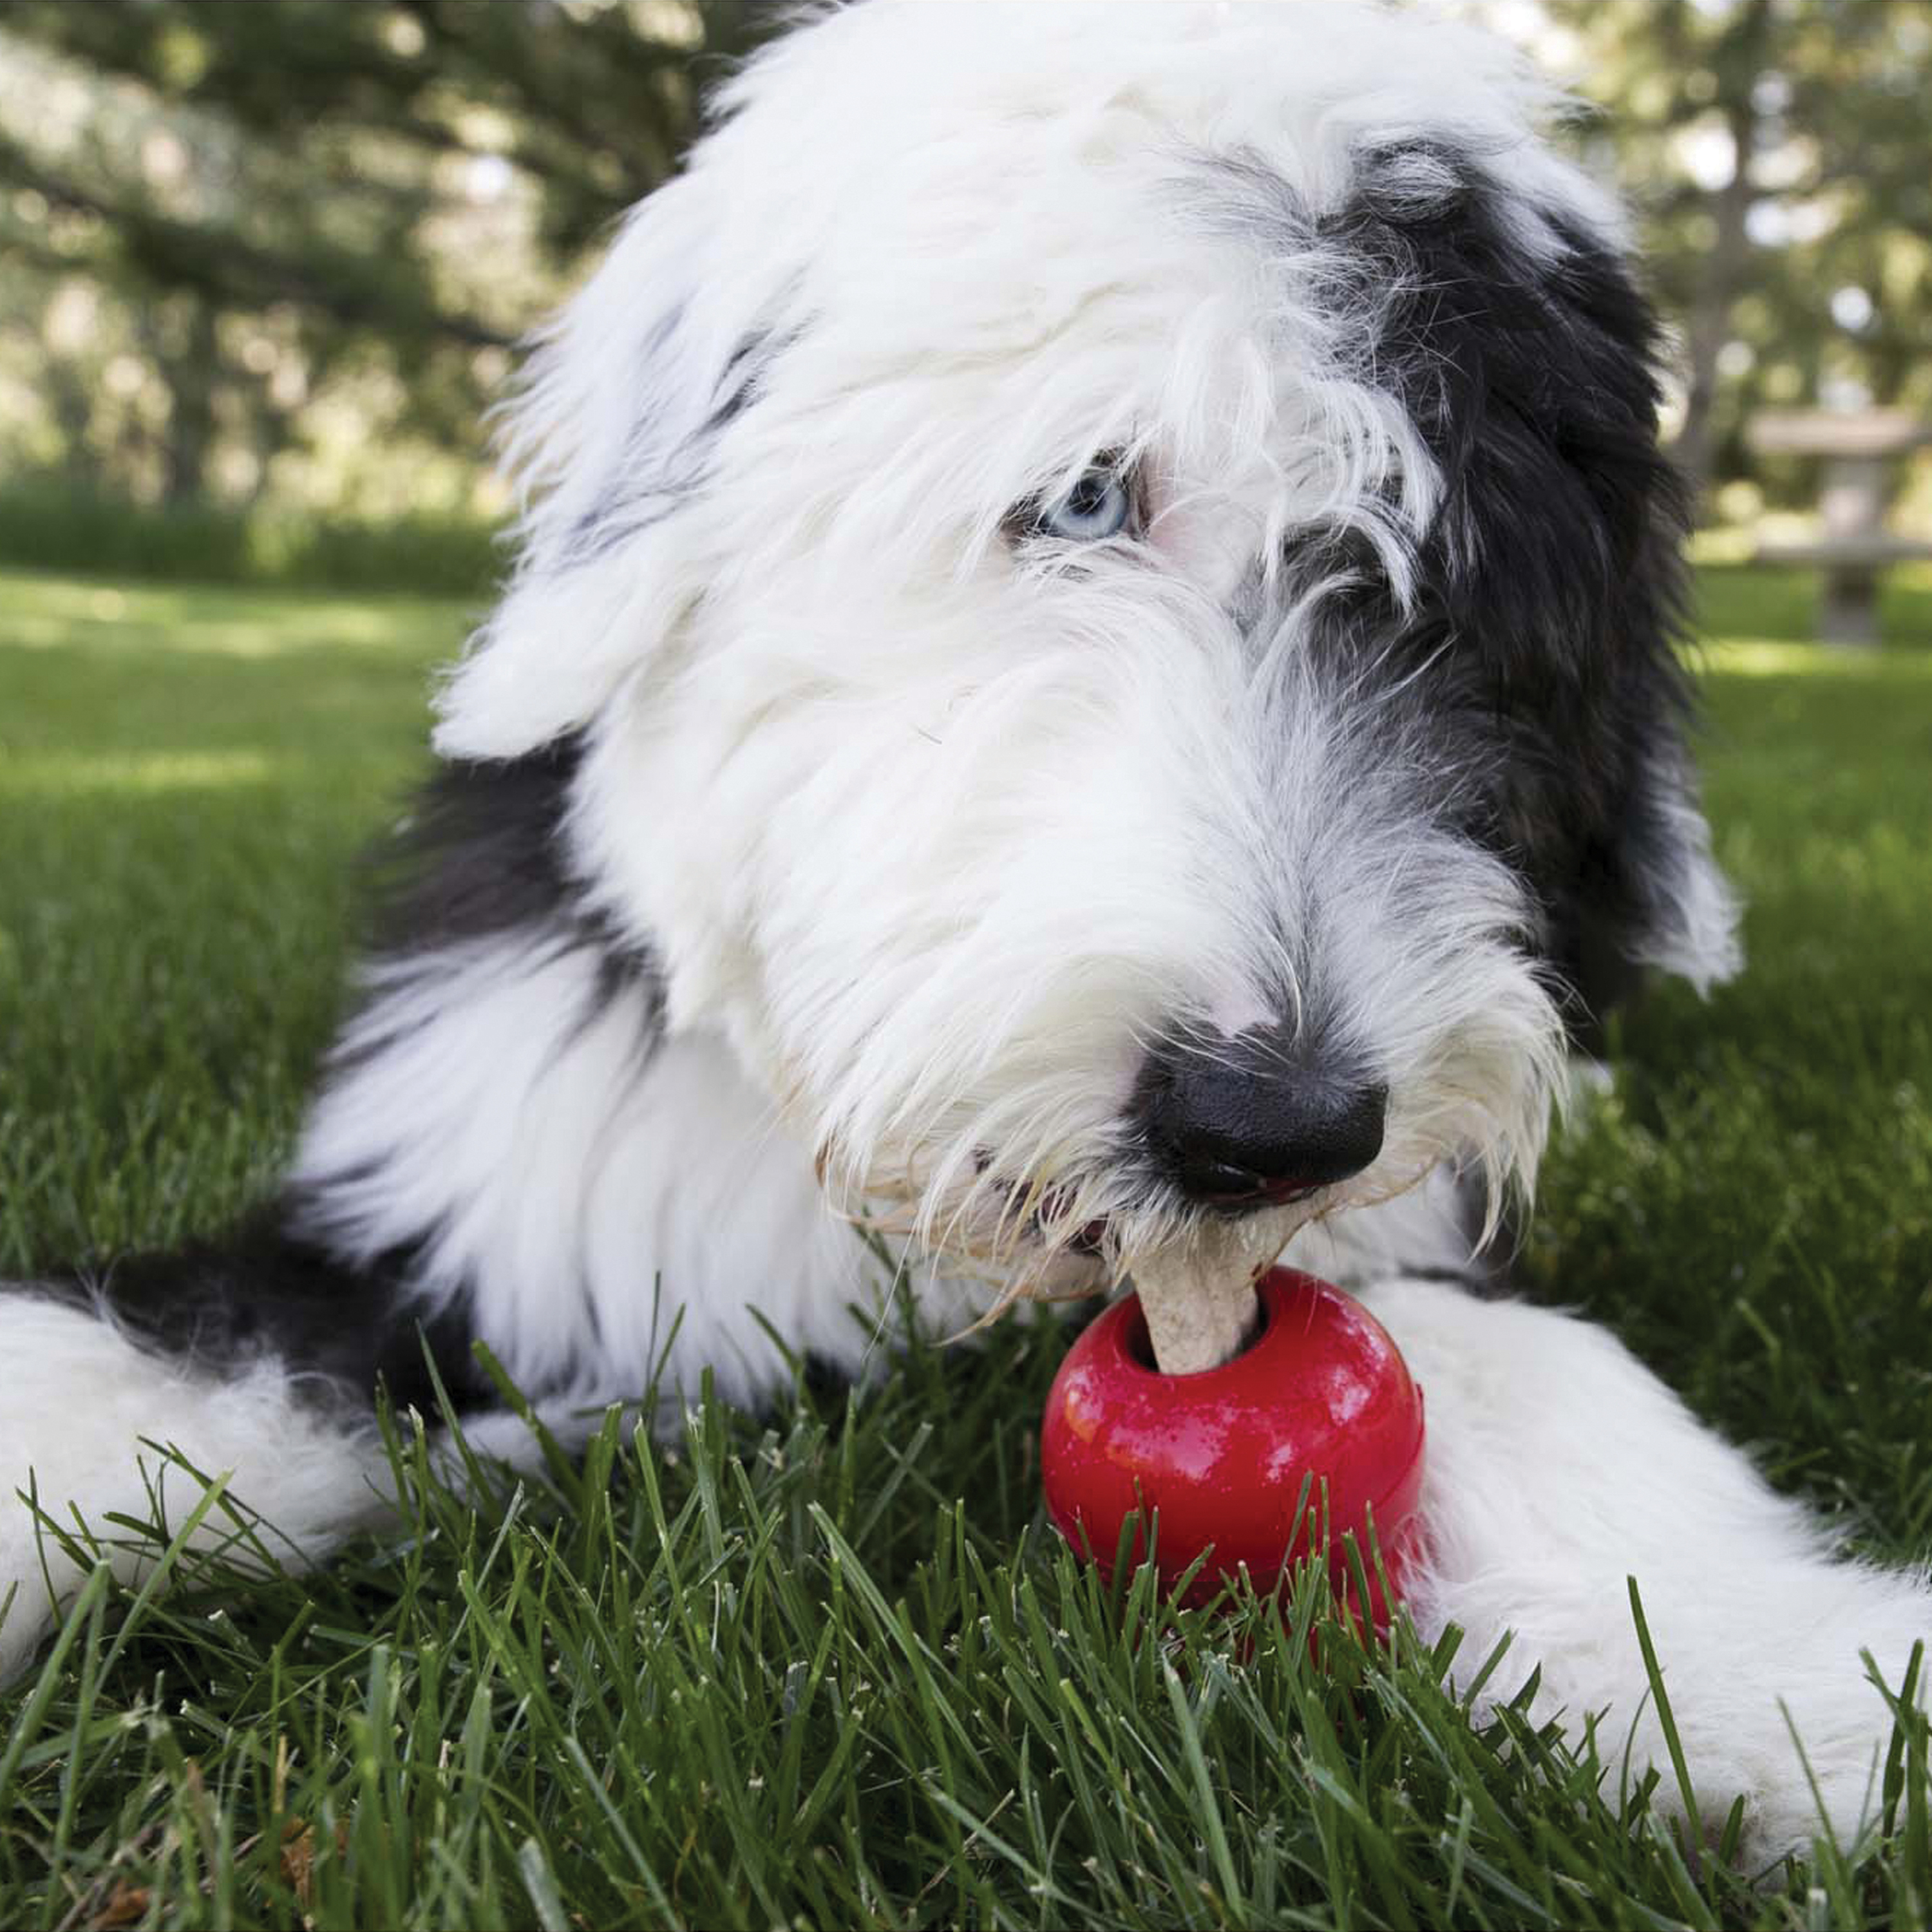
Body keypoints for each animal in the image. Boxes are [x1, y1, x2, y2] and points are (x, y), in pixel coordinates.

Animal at [3, 0, 1932, 1870]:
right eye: (1080, 501)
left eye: (1457, 611)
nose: (1269, 1126)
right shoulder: (512, 1192)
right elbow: (149, 1358)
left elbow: (1499, 1352)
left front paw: (1796, 1684)